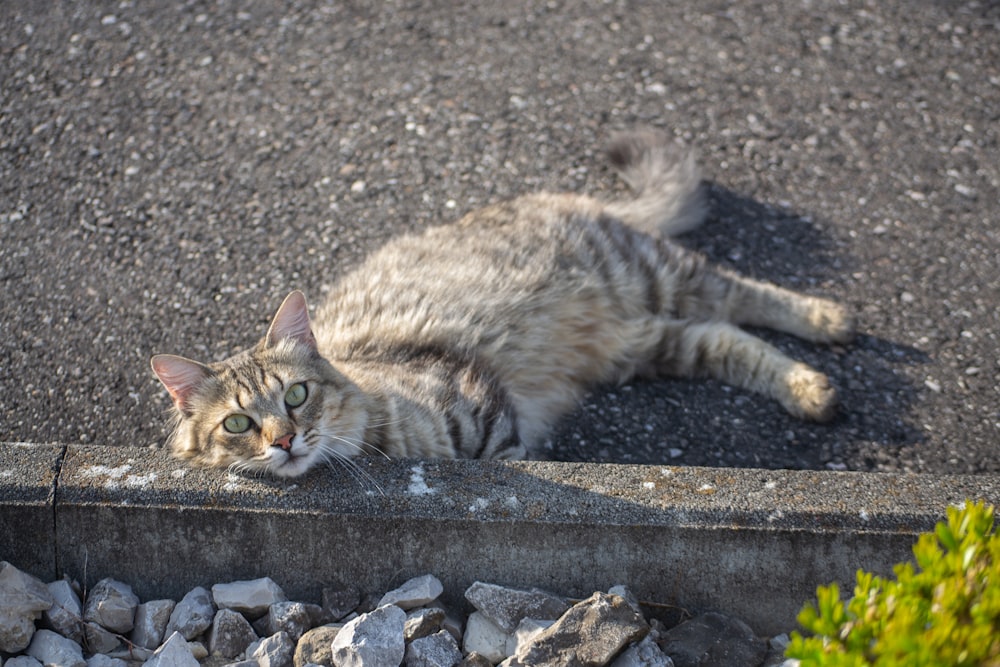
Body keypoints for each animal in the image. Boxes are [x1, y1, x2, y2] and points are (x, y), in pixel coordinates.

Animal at [152, 128, 856, 478]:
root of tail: (557, 196)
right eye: (238, 425)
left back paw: (828, 323)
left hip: (651, 273)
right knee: (730, 340)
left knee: (745, 295)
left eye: (296, 396)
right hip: (646, 342)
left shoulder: (489, 414)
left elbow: (511, 461)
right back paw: (811, 389)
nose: (286, 439)